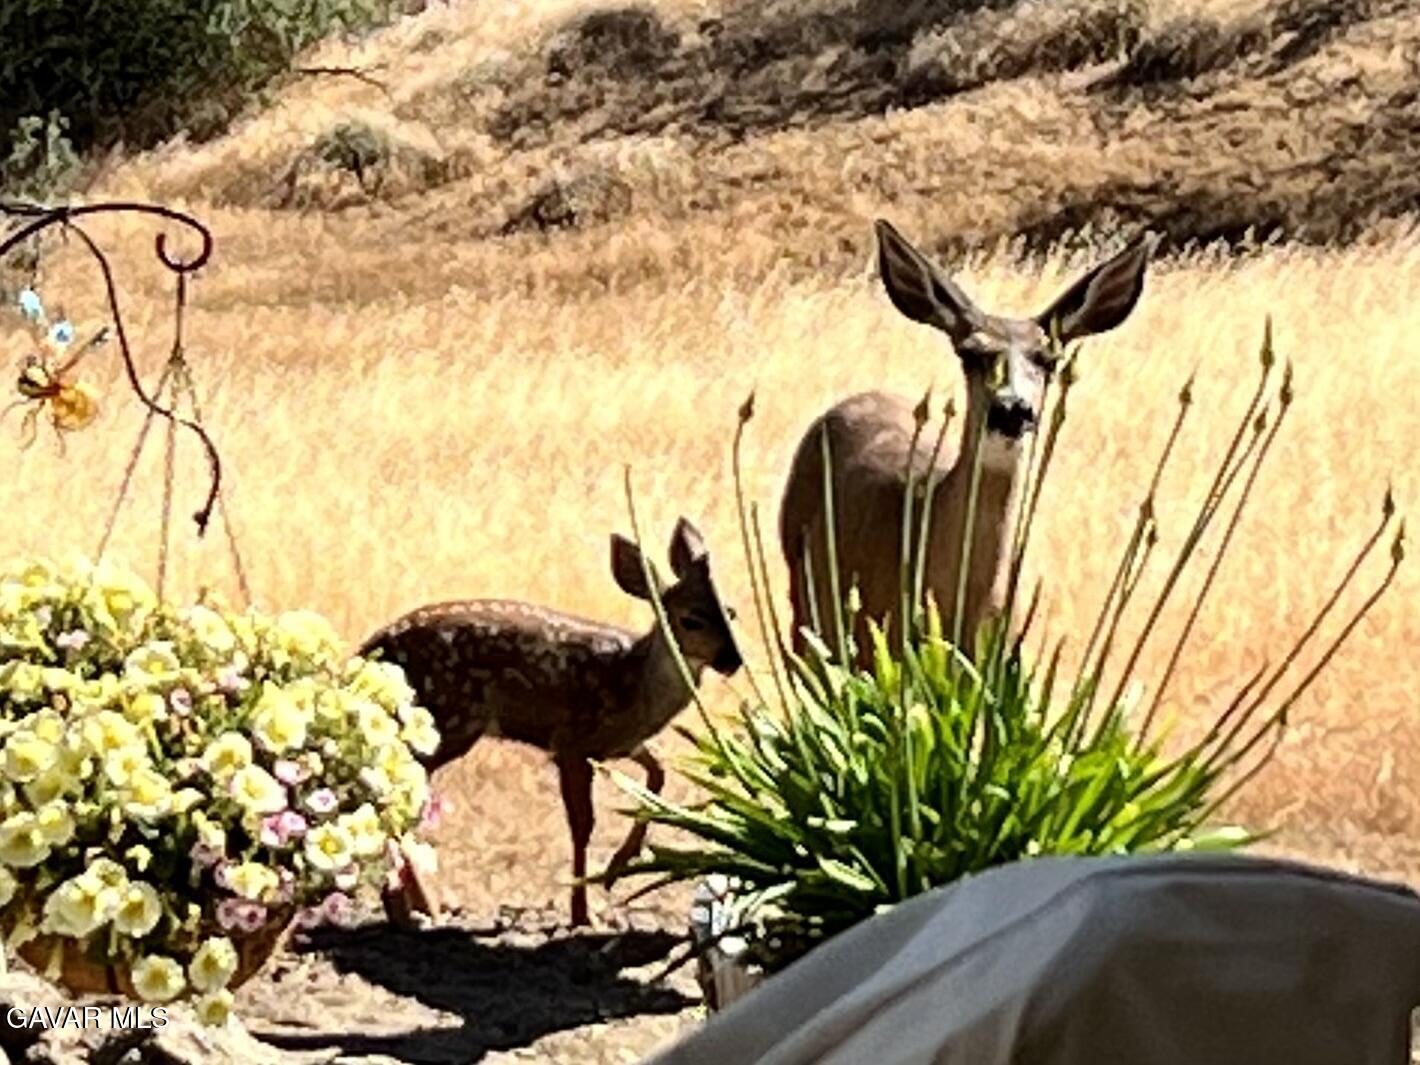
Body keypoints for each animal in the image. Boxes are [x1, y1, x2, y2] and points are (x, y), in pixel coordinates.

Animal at [360, 517, 743, 928]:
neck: (635, 683)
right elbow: (582, 824)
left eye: (731, 613)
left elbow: (658, 777)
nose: (733, 660)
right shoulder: (571, 742)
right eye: (692, 619)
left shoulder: (619, 745)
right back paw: (422, 911)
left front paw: (617, 867)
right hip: (445, 721)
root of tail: (367, 653)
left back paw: (415, 908)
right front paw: (583, 913)